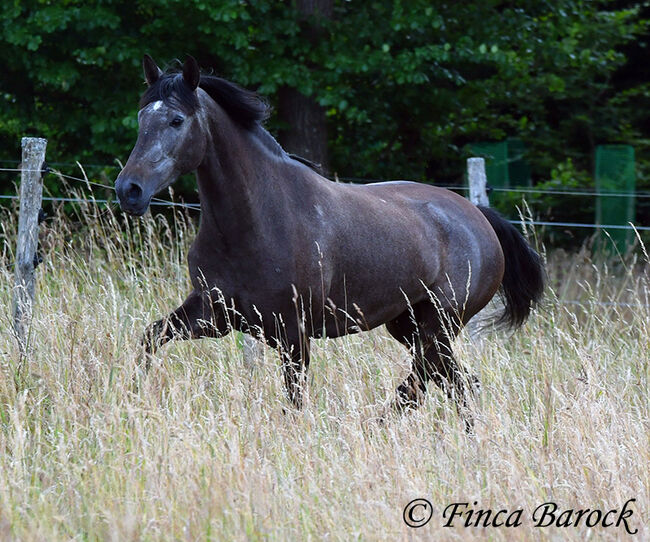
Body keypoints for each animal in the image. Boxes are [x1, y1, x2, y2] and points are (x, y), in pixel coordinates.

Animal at [115, 54, 540, 420]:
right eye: (140, 117)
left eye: (176, 120)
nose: (129, 190)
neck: (257, 221)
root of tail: (478, 217)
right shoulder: (214, 314)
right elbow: (150, 339)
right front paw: (130, 400)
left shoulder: (293, 333)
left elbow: (295, 400)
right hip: (407, 324)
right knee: (454, 382)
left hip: (438, 324)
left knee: (428, 382)